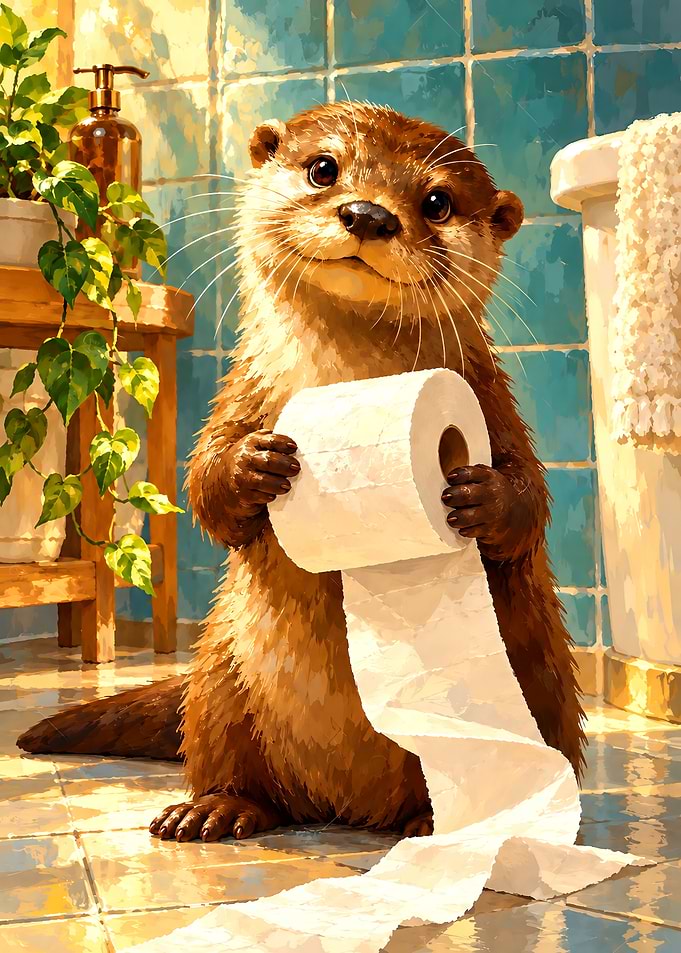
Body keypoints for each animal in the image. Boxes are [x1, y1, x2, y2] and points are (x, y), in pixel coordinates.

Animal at [18, 102, 586, 843]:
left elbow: (531, 500)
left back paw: (439, 821)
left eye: (437, 202)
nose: (368, 214)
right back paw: (215, 807)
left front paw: (481, 495)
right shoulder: (241, 396)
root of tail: (347, 804)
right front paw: (251, 466)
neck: (352, 377)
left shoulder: (492, 403)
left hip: (539, 687)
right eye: (322, 167)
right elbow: (202, 482)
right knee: (237, 767)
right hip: (219, 678)